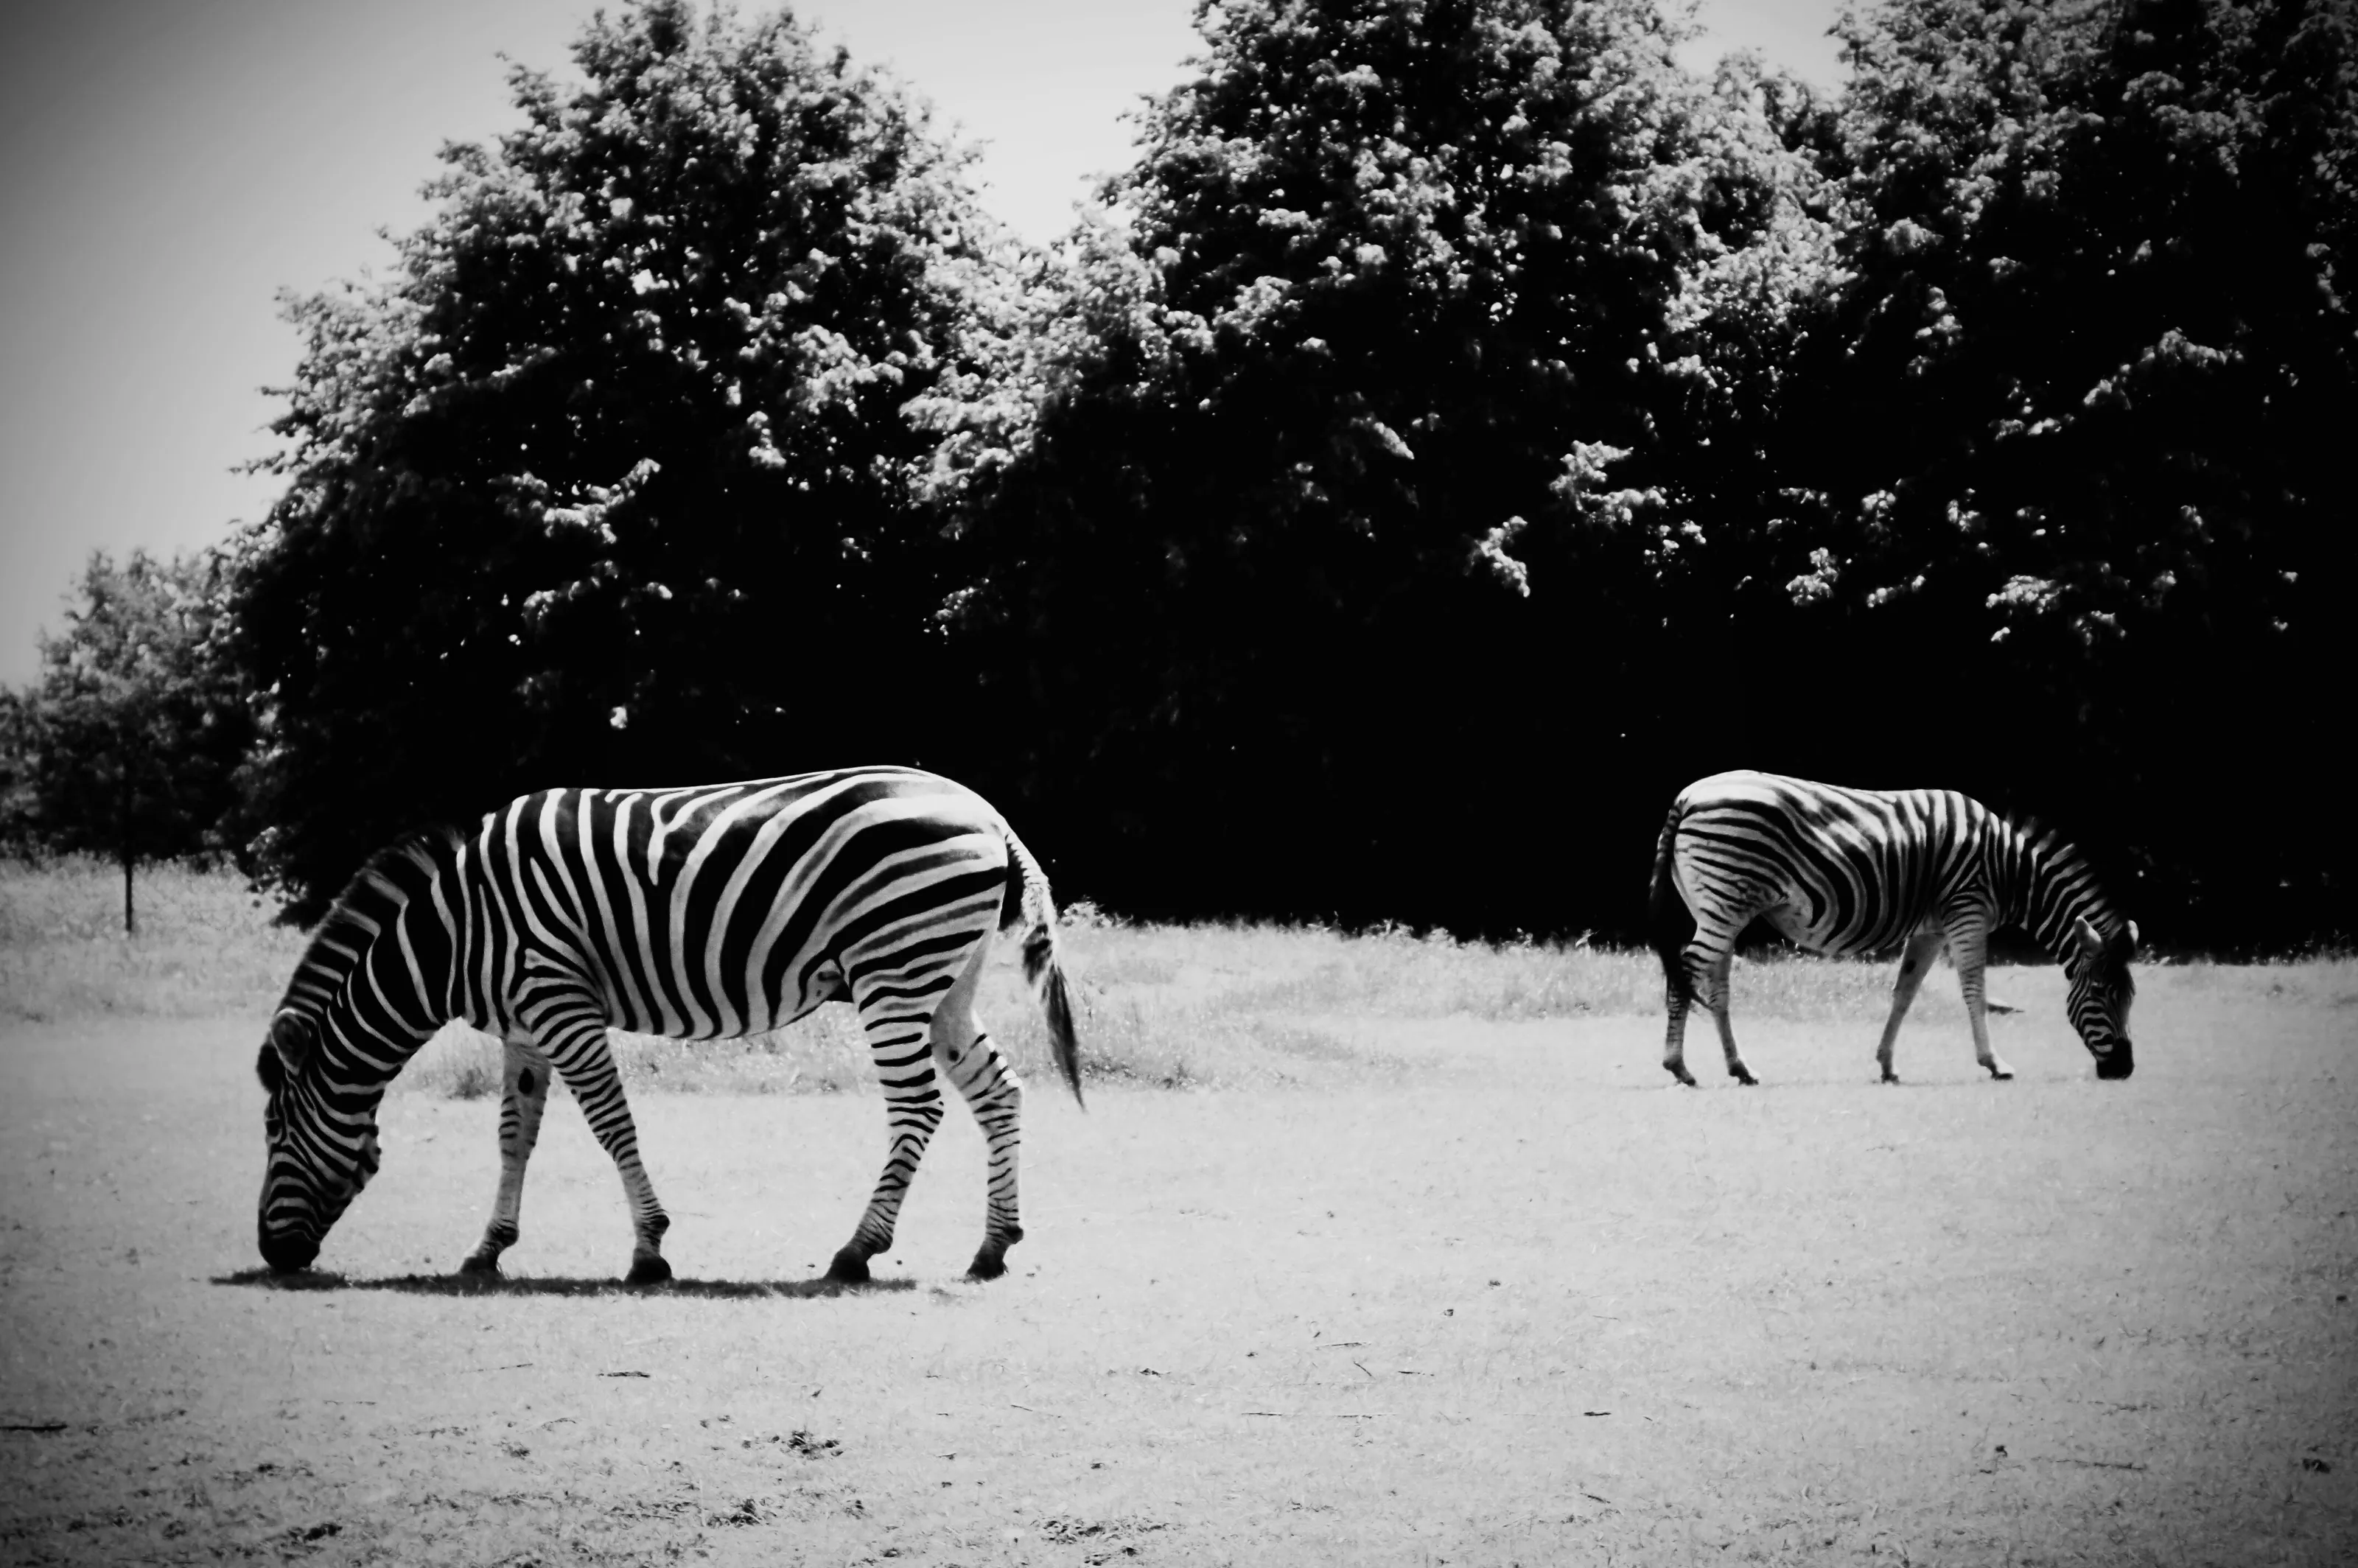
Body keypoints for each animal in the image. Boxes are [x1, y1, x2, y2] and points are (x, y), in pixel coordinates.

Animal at [255, 766, 1083, 1285]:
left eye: (274, 1131)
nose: (271, 1254)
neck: (455, 933)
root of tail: (987, 813)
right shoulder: (523, 1025)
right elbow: (514, 1135)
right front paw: (488, 1248)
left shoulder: (559, 1000)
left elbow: (611, 1124)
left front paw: (648, 1251)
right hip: (944, 979)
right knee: (997, 1092)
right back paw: (992, 1245)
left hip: (892, 970)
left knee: (918, 1107)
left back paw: (857, 1250)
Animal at [1649, 770, 2136, 1086]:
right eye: (2100, 994)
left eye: (2131, 998)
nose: (2124, 1069)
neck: (2011, 871)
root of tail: (1687, 796)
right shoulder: (1968, 909)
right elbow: (1974, 989)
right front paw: (1995, 1063)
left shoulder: (1931, 929)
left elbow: (1905, 993)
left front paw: (1886, 1064)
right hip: (1728, 895)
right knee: (1690, 966)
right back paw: (1678, 1065)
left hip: (1717, 903)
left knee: (1715, 980)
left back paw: (1741, 1068)